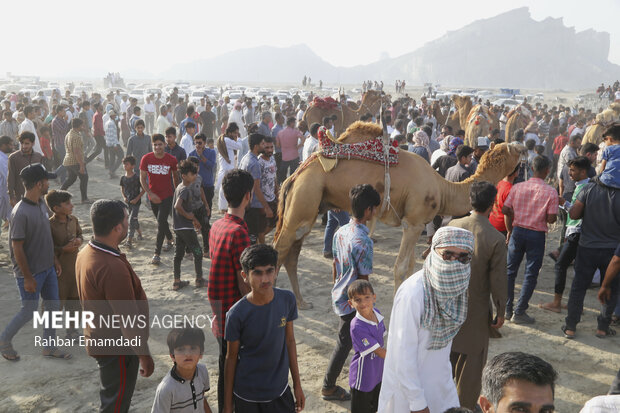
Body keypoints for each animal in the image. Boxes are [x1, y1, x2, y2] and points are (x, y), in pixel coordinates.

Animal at [274, 120, 520, 308]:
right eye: (516, 152)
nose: (522, 145)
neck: (443, 188)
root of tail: (294, 175)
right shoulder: (413, 222)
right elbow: (401, 267)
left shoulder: (413, 223)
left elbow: (410, 267)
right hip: (306, 194)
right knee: (281, 246)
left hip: (312, 205)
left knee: (292, 253)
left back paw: (302, 302)